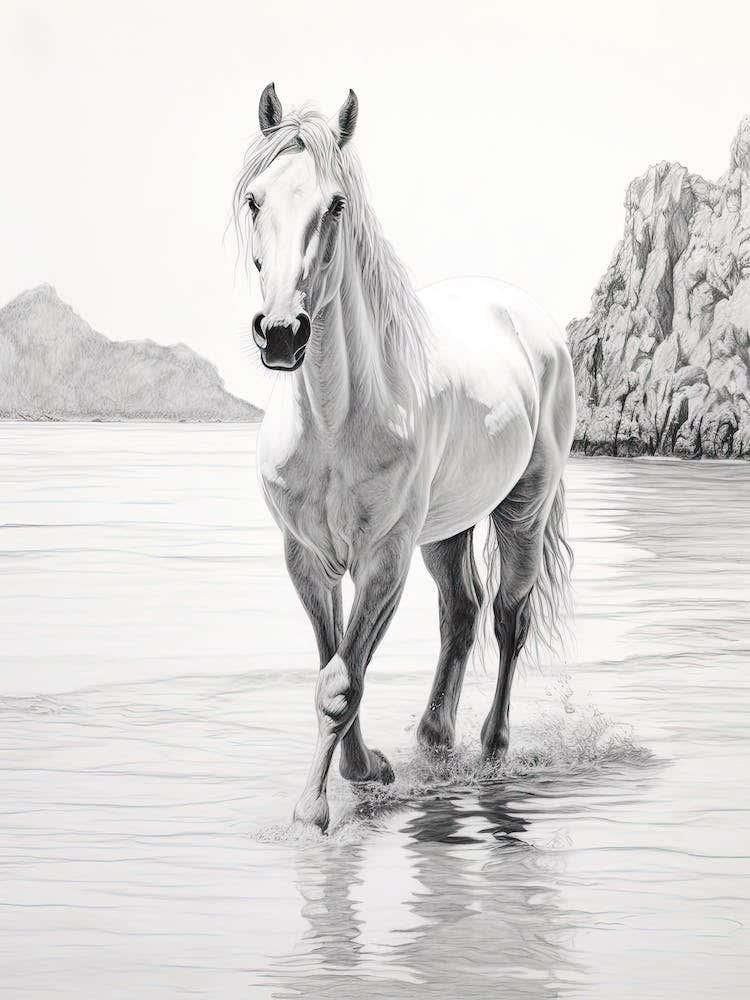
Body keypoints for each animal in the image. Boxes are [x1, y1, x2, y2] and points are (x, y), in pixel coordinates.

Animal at [233, 84, 575, 832]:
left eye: (336, 204)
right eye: (255, 200)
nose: (282, 333)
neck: (335, 422)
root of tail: (526, 317)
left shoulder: (383, 558)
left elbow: (341, 681)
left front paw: (316, 809)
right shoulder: (307, 556)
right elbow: (335, 659)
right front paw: (371, 770)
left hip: (522, 509)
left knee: (508, 617)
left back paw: (492, 750)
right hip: (447, 529)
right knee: (462, 612)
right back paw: (434, 741)